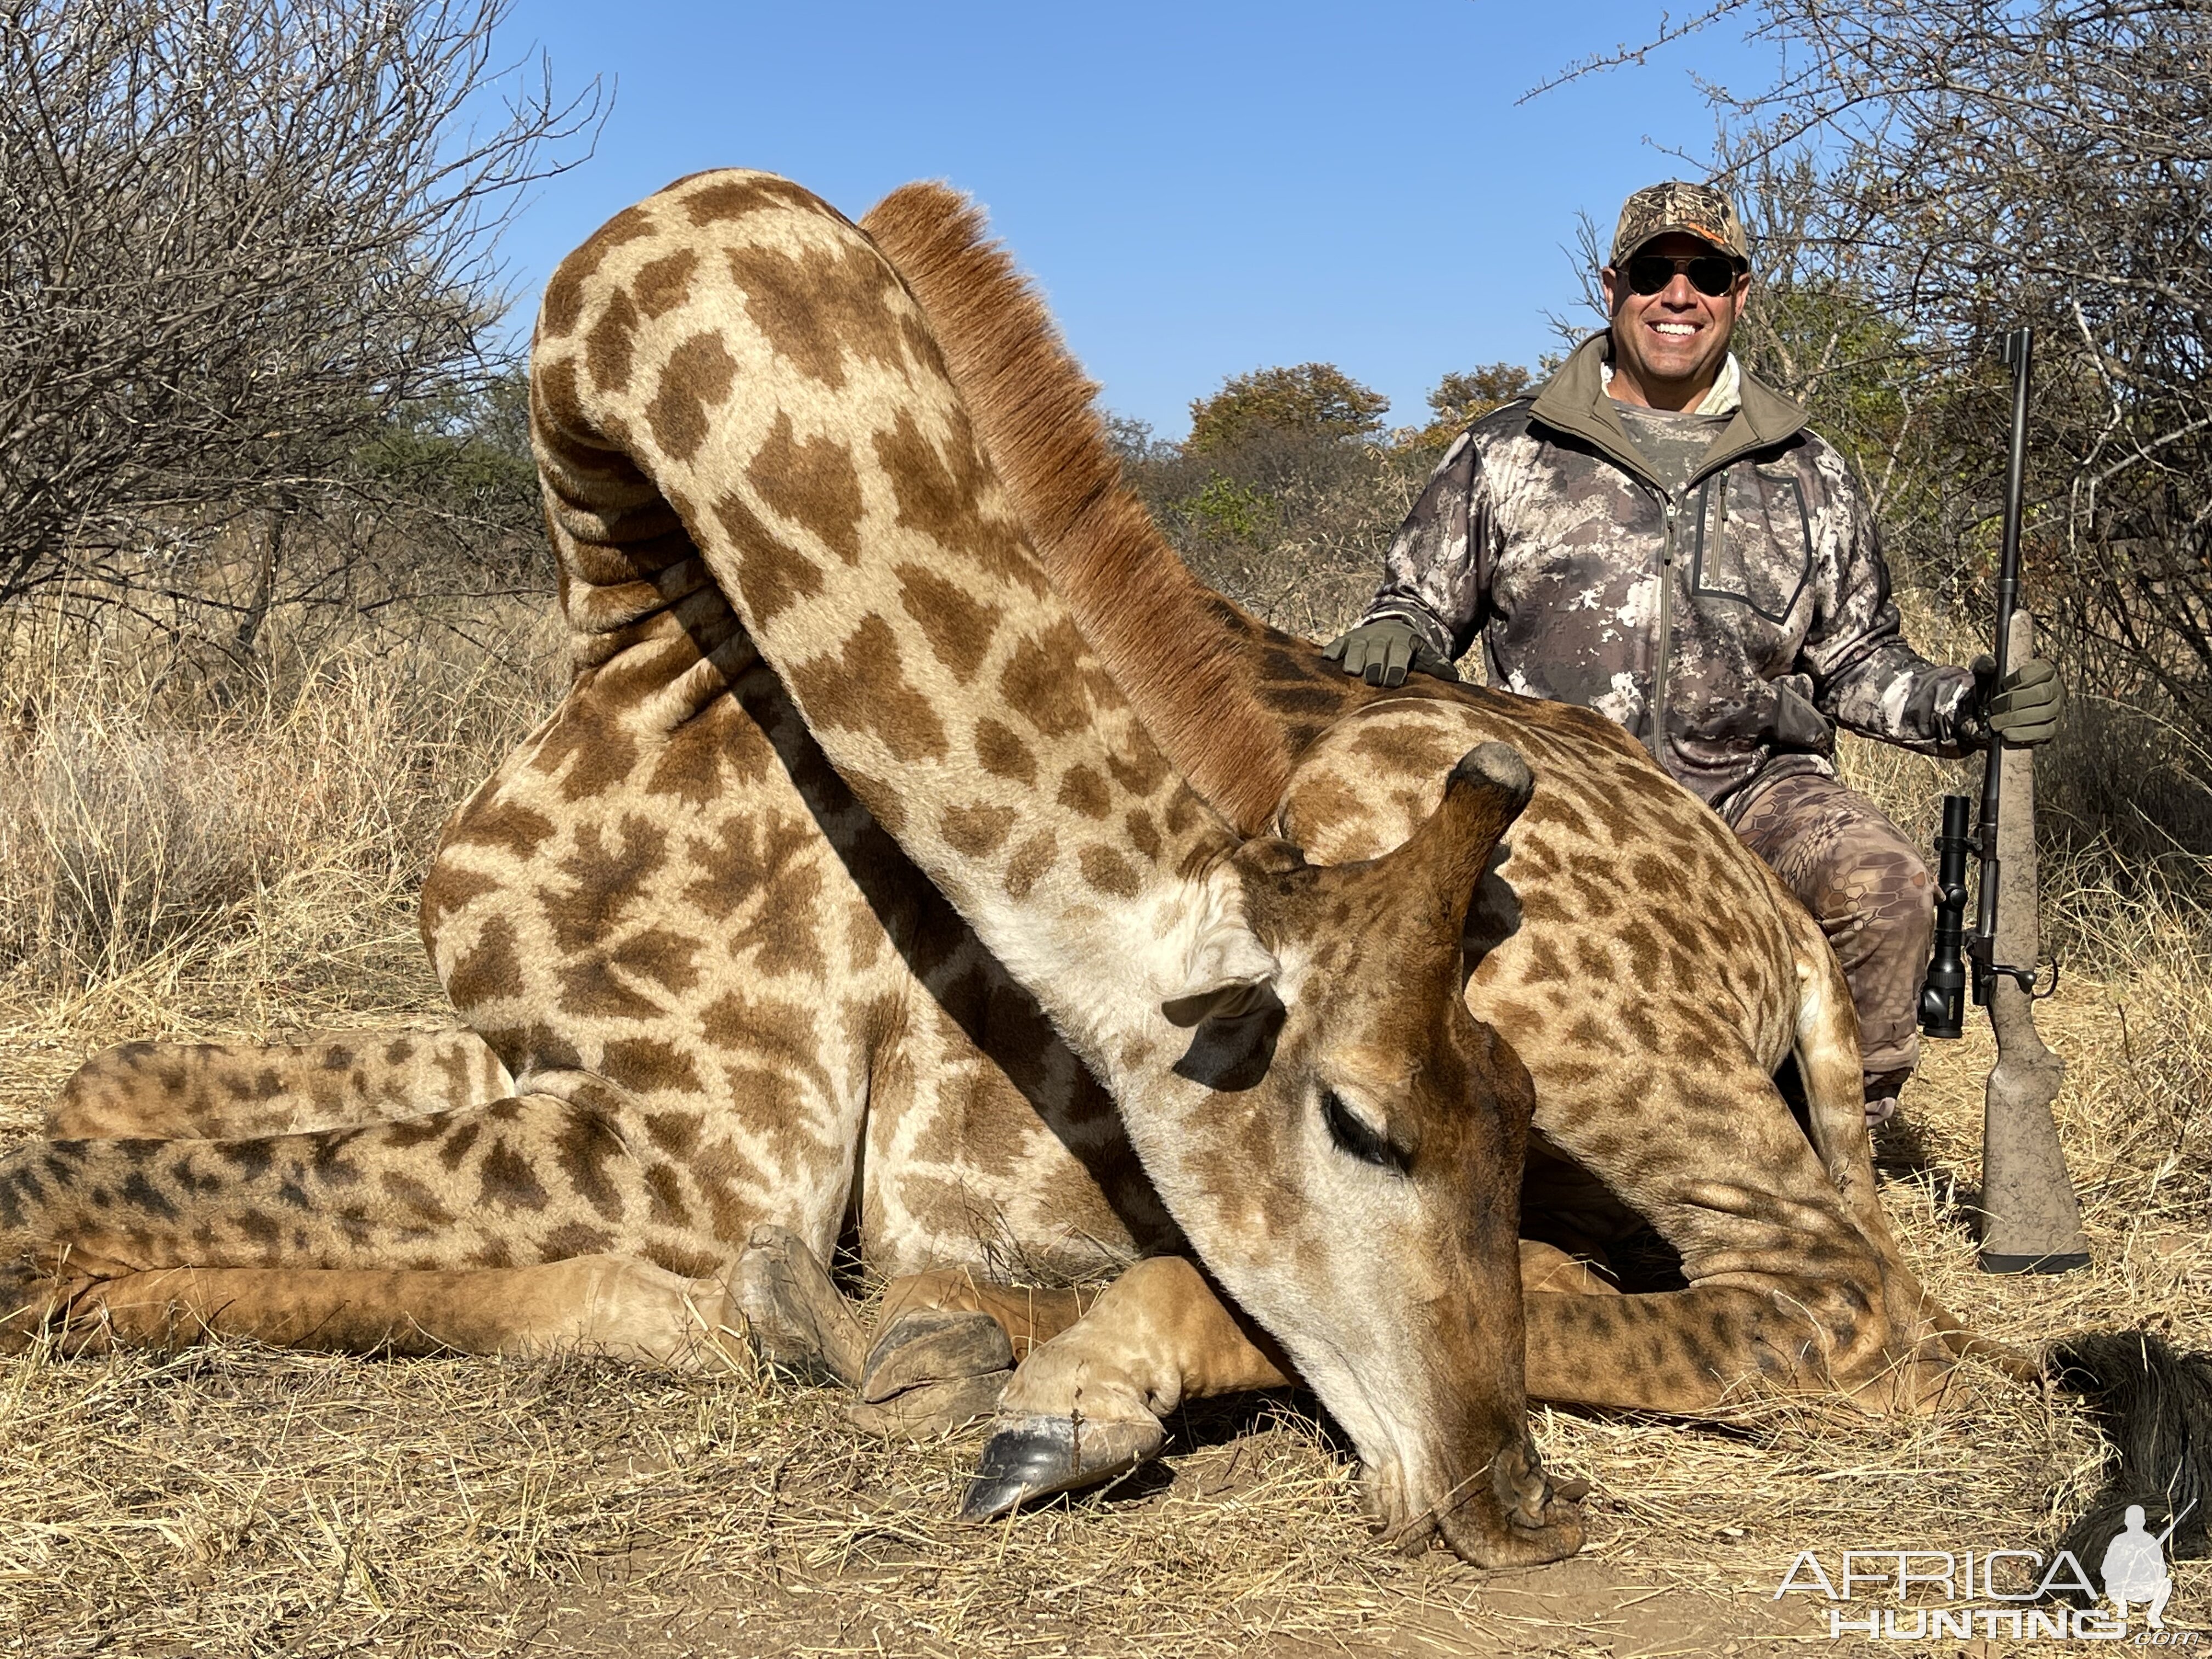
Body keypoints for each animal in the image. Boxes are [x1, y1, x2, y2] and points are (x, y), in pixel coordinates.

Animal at [0, 169, 1593, 1575]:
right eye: (1362, 1123)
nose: (1519, 1507)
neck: (643, 643)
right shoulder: (536, 1056)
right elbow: (105, 1099)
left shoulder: (713, 1152)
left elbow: (61, 1180)